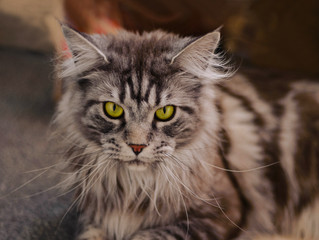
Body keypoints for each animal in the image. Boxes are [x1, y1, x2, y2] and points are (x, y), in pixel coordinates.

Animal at [53, 25, 319, 239]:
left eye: (165, 112)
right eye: (113, 109)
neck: (134, 187)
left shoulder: (224, 212)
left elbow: (151, 235)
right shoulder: (92, 212)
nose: (137, 147)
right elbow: (89, 234)